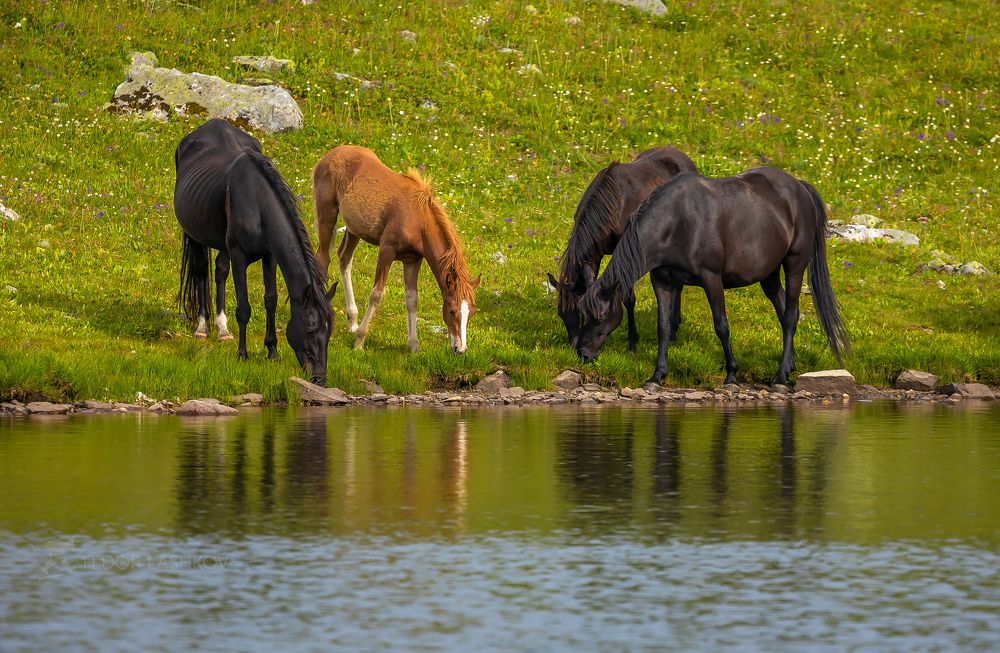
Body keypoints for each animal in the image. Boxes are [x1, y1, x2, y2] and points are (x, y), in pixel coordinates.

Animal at [174, 119, 334, 385]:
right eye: (311, 330)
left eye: (329, 330)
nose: (319, 378)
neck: (257, 205)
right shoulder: (239, 256)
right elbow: (244, 308)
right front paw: (242, 354)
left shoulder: (269, 257)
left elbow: (271, 300)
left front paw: (272, 351)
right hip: (196, 237)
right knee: (201, 272)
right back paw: (203, 328)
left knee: (219, 271)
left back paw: (223, 330)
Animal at [312, 145, 480, 353]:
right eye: (451, 310)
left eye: (471, 312)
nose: (460, 349)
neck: (418, 219)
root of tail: (331, 154)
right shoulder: (386, 251)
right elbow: (376, 294)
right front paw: (359, 342)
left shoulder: (412, 260)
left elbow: (412, 299)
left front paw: (413, 345)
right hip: (327, 214)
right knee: (323, 259)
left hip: (354, 228)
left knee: (344, 258)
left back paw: (352, 322)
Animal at [547, 146, 698, 352]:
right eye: (562, 315)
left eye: (580, 314)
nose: (575, 346)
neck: (613, 205)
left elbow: (628, 298)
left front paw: (632, 341)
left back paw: (674, 328)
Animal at [576, 167, 848, 390]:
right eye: (582, 316)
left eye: (601, 315)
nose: (582, 354)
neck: (676, 223)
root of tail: (800, 187)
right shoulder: (662, 282)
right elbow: (663, 327)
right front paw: (656, 377)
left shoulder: (711, 279)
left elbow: (721, 326)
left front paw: (732, 376)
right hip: (769, 275)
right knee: (784, 314)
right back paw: (788, 368)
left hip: (794, 265)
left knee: (791, 316)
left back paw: (780, 379)